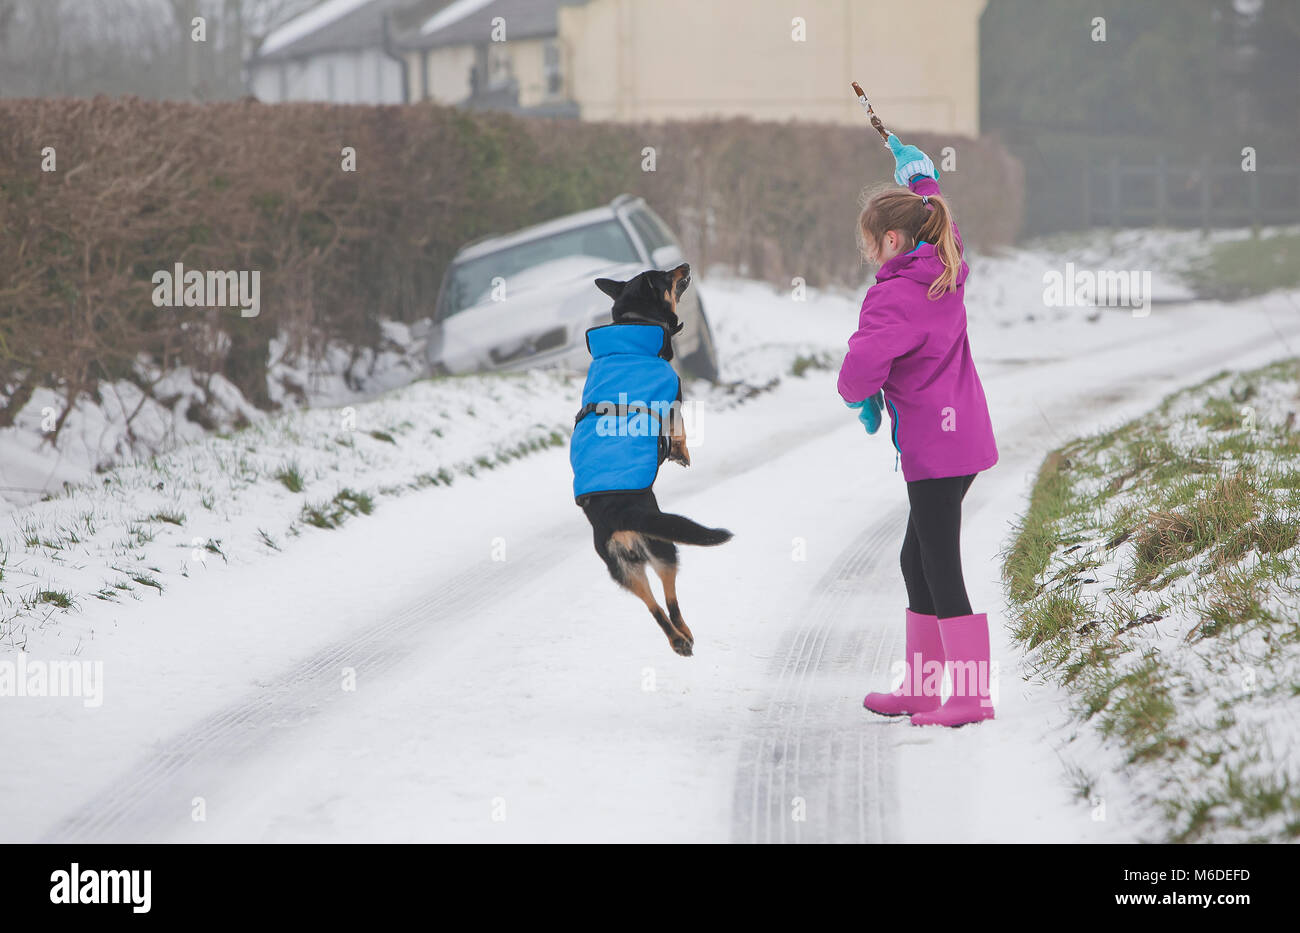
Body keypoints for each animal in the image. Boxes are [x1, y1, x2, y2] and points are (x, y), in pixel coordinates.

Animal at [569, 262, 733, 657]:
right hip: (664, 546)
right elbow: (680, 429)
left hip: (624, 570)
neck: (635, 322)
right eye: (664, 274)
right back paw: (685, 633)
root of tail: (618, 515)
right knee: (669, 599)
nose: (684, 264)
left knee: (653, 607)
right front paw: (680, 453)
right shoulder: (674, 396)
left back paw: (678, 640)